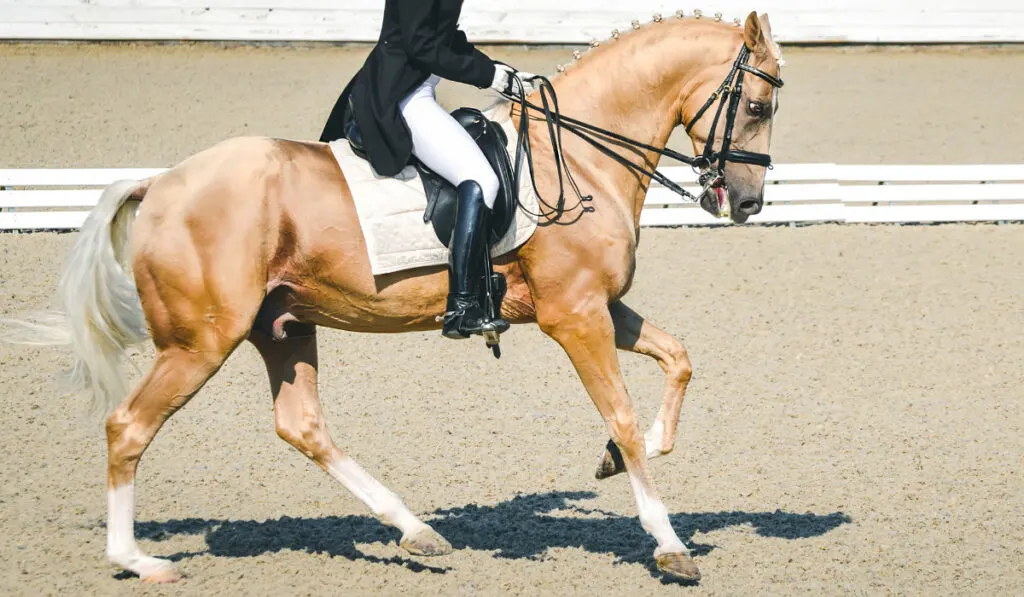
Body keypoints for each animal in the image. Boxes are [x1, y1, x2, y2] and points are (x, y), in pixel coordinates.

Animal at [12, 11, 778, 585]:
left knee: (302, 426)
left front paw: (624, 455)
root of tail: (161, 183)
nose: (746, 203)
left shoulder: (598, 307)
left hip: (281, 325)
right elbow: (620, 410)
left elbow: (679, 359)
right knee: (128, 426)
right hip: (201, 340)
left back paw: (418, 532)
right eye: (758, 104)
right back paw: (138, 560)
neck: (580, 158)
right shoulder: (575, 317)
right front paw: (668, 543)